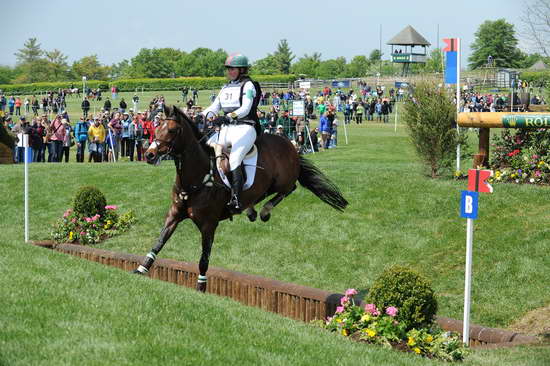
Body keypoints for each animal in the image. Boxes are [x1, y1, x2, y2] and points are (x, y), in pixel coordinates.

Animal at [135, 105, 350, 292]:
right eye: (156, 127)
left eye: (171, 130)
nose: (149, 154)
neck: (197, 178)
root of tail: (288, 143)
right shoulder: (174, 215)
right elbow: (159, 242)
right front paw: (141, 269)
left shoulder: (209, 225)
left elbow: (204, 259)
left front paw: (201, 287)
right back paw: (250, 209)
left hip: (283, 181)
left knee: (290, 188)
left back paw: (263, 211)